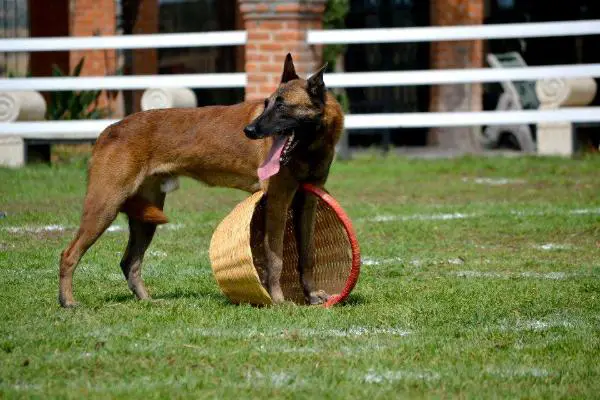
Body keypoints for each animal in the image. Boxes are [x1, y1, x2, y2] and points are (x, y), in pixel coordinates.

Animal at [58, 54, 344, 310]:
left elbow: (307, 255)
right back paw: (68, 301)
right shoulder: (277, 202)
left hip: (145, 219)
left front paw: (311, 295)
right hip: (105, 207)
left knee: (130, 262)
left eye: (283, 106)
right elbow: (275, 258)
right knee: (69, 255)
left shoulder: (307, 203)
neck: (310, 147)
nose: (249, 131)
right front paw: (279, 300)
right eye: (267, 103)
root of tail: (107, 131)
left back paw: (147, 301)